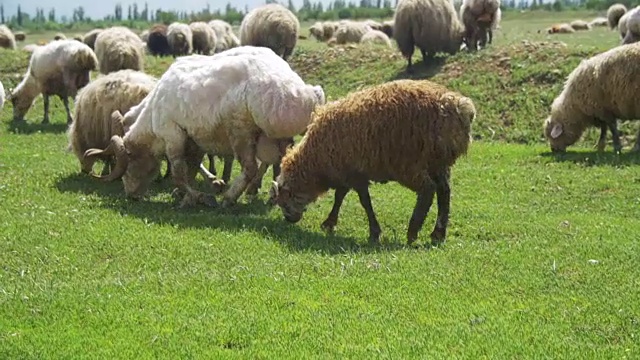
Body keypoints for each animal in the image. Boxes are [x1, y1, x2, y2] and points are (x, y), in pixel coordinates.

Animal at [82, 45, 324, 208]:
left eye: (130, 160)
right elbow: (191, 167)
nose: (130, 194)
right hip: (275, 139)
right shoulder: (194, 140)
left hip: (241, 131)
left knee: (250, 168)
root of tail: (308, 94)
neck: (152, 112)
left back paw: (229, 199)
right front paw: (188, 193)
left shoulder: (173, 134)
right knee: (282, 162)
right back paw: (272, 194)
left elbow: (179, 172)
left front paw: (194, 197)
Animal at [268, 79, 476, 245]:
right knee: (444, 192)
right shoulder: (347, 172)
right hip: (439, 162)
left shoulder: (356, 174)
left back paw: (413, 231)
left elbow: (364, 202)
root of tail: (457, 106)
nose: (289, 220)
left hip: (409, 163)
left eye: (284, 202)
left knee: (428, 190)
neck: (315, 161)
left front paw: (374, 232)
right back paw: (438, 233)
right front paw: (330, 222)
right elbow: (340, 196)